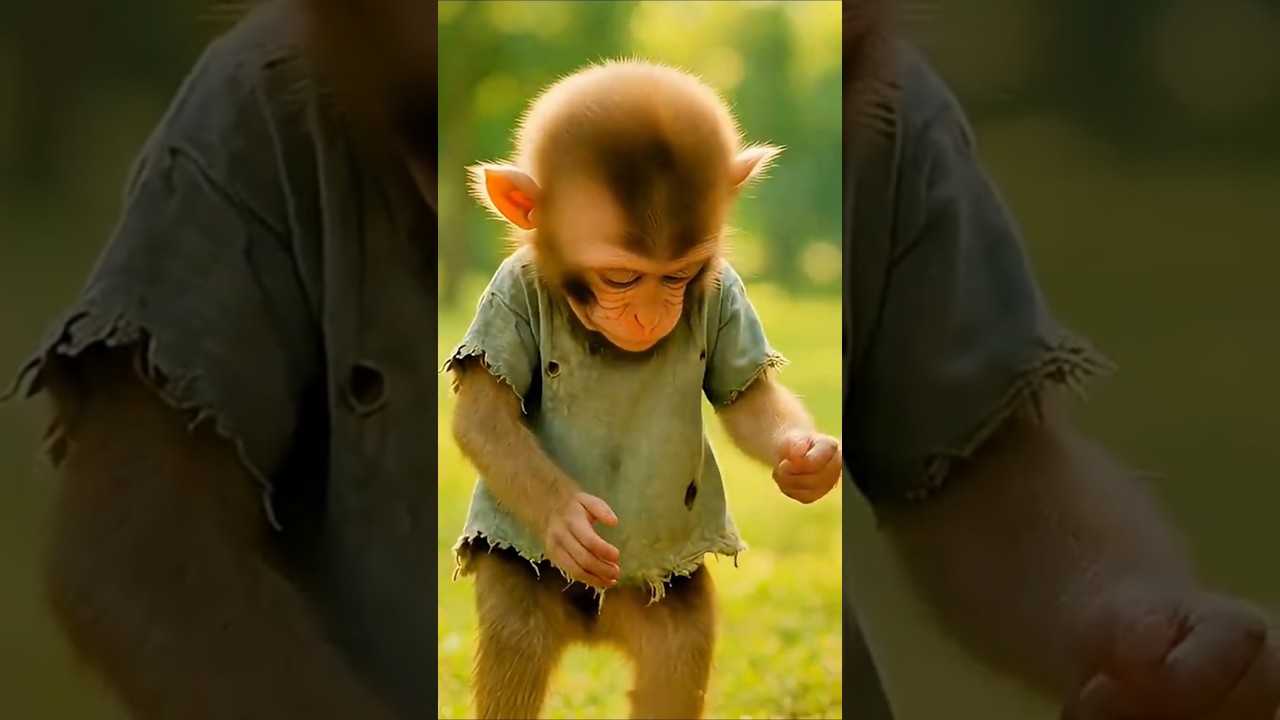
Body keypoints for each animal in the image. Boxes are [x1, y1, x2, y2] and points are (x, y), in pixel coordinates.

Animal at [442, 60, 845, 720]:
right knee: (516, 637)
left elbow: (750, 403)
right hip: (523, 573)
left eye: (680, 275)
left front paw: (807, 463)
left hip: (659, 598)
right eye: (621, 278)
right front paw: (567, 516)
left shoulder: (727, 293)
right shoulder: (505, 296)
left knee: (676, 650)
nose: (649, 316)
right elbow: (483, 417)